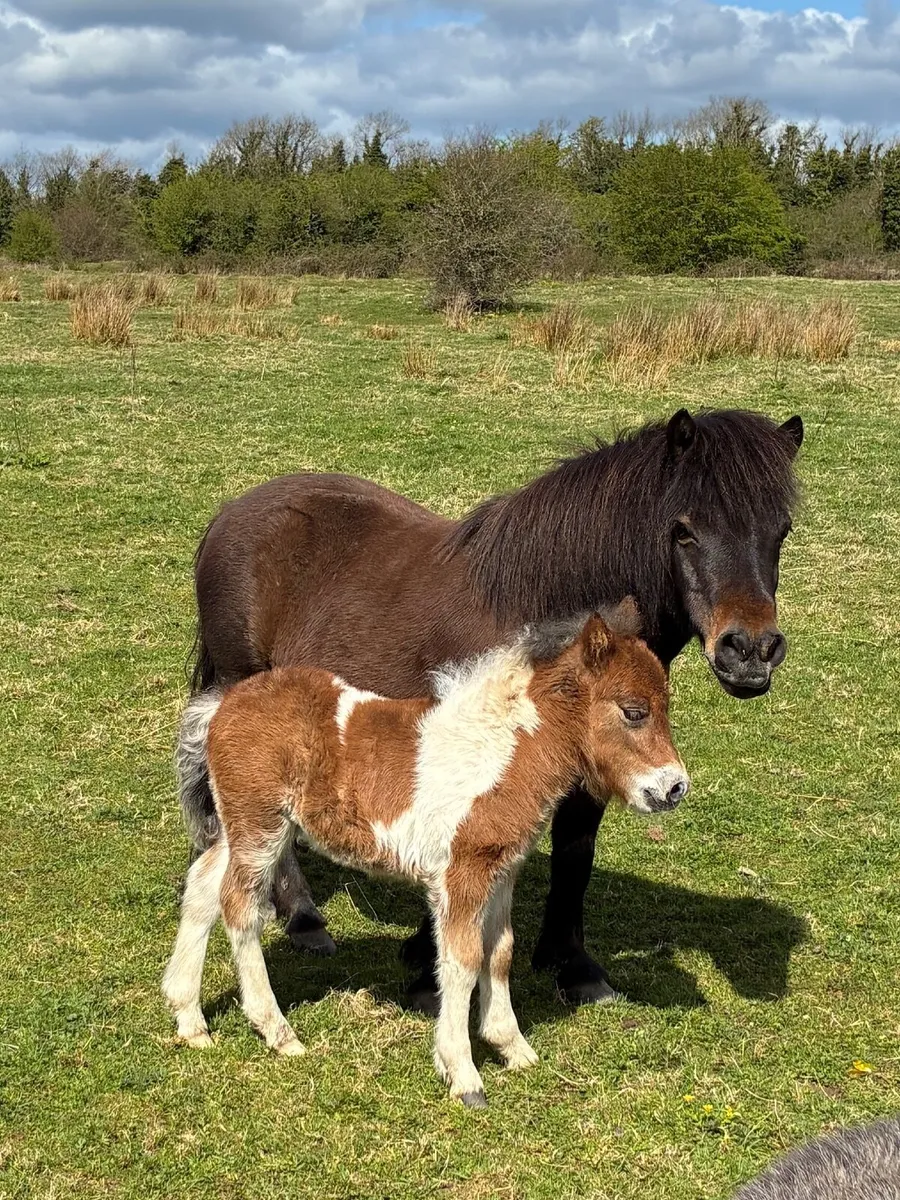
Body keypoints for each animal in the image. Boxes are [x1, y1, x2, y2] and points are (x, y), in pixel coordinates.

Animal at [164, 608, 689, 1107]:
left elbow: (499, 952)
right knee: (239, 906)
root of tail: (222, 704)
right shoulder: (460, 874)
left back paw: (190, 1019)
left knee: (203, 888)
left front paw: (513, 1047)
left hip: (240, 827)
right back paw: (277, 1031)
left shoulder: (502, 870)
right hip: (262, 827)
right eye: (634, 711)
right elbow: (461, 959)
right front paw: (464, 1074)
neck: (502, 752)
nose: (674, 787)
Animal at [183, 406, 803, 1011]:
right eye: (684, 531)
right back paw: (305, 921)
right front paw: (426, 966)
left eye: (781, 531)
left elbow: (574, 849)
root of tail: (229, 514)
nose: (751, 651)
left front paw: (572, 965)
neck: (541, 611)